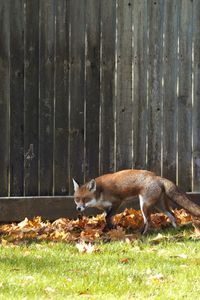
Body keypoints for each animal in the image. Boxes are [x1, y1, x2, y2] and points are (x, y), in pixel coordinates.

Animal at [72, 170, 200, 233]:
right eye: (77, 199)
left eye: (85, 199)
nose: (78, 208)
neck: (100, 193)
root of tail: (158, 177)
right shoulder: (106, 208)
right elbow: (106, 218)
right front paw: (107, 230)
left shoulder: (117, 202)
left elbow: (107, 217)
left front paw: (112, 229)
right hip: (160, 206)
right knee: (172, 215)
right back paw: (176, 230)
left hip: (144, 205)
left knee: (148, 220)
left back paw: (142, 234)